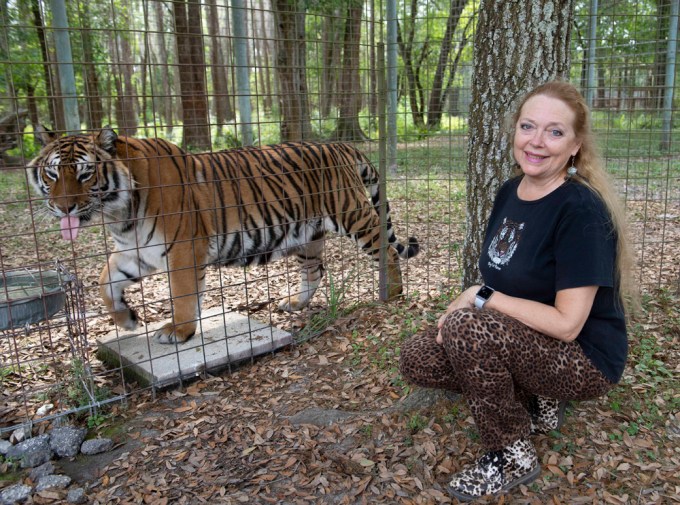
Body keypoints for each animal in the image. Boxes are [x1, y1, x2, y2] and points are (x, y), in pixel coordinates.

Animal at [27, 127, 420, 342]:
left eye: (84, 174)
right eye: (52, 174)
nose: (63, 208)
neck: (117, 211)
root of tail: (342, 145)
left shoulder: (183, 249)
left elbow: (183, 294)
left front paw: (178, 331)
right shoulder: (135, 251)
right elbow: (104, 282)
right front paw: (126, 321)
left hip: (352, 215)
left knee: (387, 252)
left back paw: (392, 293)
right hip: (307, 236)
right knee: (315, 271)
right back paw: (295, 303)